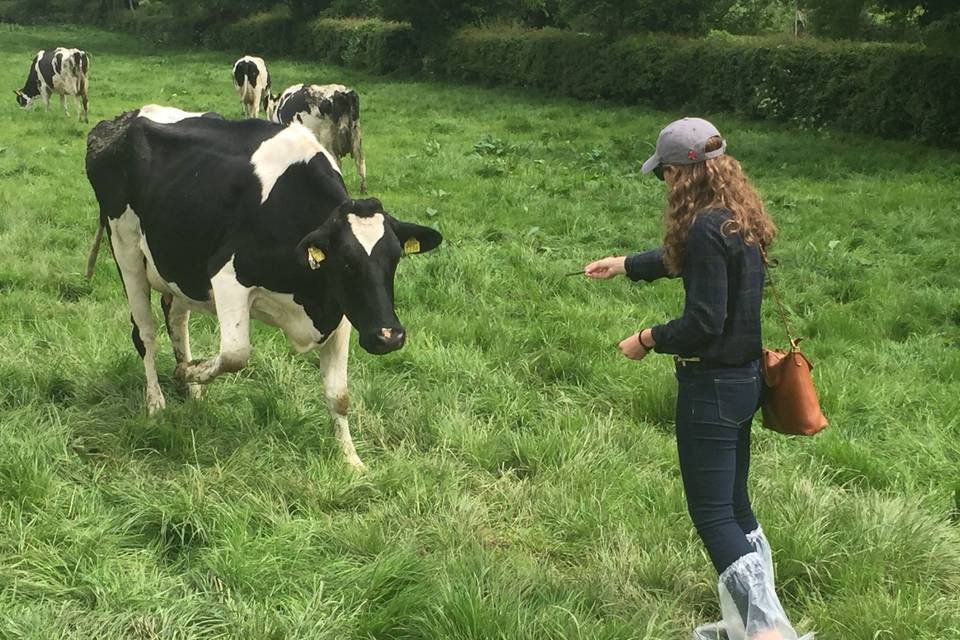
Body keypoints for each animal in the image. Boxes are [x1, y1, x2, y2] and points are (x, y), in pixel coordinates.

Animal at [84, 102, 440, 468]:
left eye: (395, 258)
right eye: (346, 262)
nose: (389, 337)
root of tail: (121, 121)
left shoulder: (339, 307)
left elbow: (339, 394)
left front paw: (351, 460)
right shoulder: (227, 276)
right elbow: (235, 354)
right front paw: (190, 373)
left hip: (179, 265)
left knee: (176, 318)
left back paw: (191, 388)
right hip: (125, 247)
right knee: (145, 333)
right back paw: (157, 401)